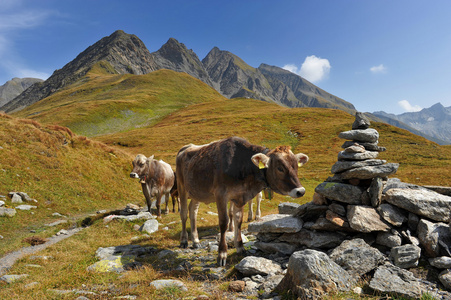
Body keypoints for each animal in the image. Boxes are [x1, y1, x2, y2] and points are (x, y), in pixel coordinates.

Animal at [175, 136, 308, 264]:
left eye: (296, 166)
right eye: (280, 168)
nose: (300, 191)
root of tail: (185, 148)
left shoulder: (240, 197)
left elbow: (238, 220)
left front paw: (240, 247)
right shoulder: (220, 195)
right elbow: (223, 222)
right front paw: (222, 254)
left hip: (198, 191)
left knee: (193, 211)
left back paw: (196, 240)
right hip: (182, 187)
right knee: (184, 214)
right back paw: (184, 240)